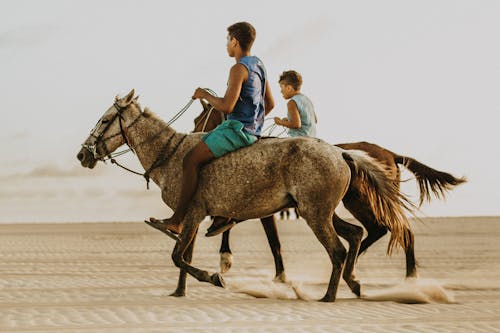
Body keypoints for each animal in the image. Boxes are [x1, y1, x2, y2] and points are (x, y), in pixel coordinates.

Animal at [77, 90, 414, 300]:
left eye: (105, 120)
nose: (83, 154)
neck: (170, 153)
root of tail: (342, 153)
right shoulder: (194, 217)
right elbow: (184, 256)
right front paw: (180, 291)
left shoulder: (193, 213)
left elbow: (177, 255)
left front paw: (215, 277)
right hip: (320, 211)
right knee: (356, 234)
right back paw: (353, 282)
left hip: (315, 214)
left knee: (339, 250)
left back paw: (328, 296)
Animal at [193, 100, 466, 284]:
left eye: (199, 119)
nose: (195, 133)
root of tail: (389, 153)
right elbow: (235, 226)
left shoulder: (262, 209)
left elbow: (271, 240)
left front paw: (231, 260)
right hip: (359, 203)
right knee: (379, 229)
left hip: (364, 202)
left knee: (396, 229)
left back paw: (408, 277)